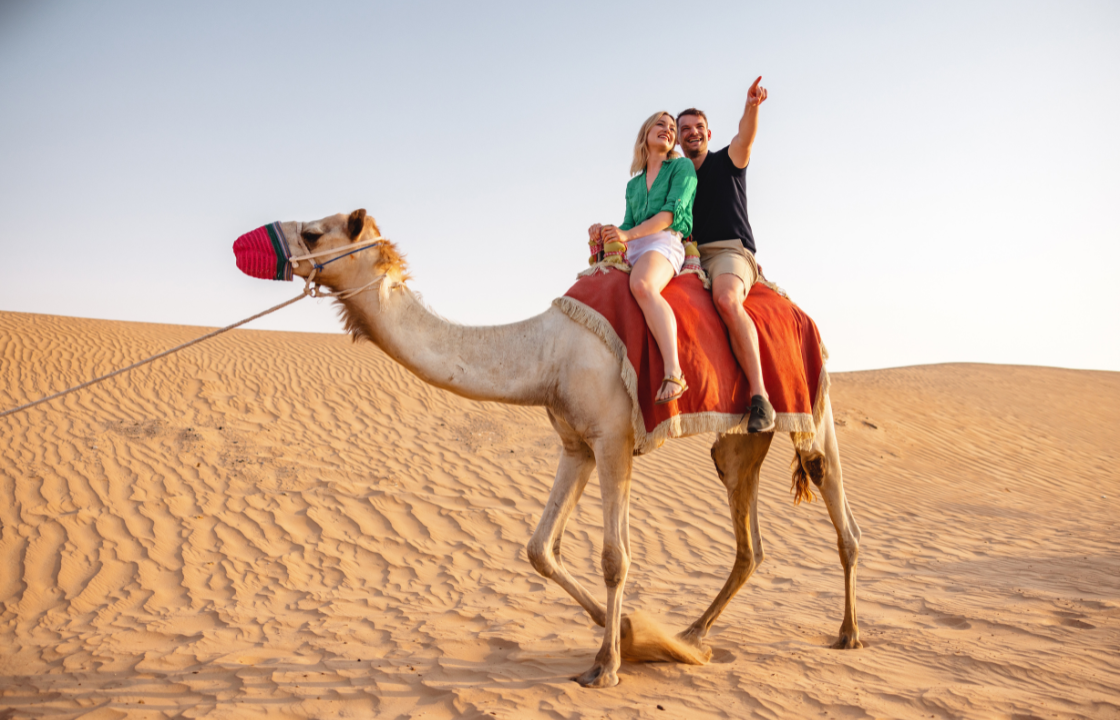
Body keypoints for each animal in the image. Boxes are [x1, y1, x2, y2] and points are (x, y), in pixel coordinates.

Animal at [268, 209, 862, 688]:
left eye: (315, 232)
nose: (276, 247)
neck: (545, 353)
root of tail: (799, 311)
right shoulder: (576, 445)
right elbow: (539, 548)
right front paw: (630, 633)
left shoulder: (613, 439)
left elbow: (615, 557)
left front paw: (608, 664)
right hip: (740, 443)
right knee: (749, 543)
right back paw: (692, 635)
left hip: (815, 403)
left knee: (838, 509)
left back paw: (848, 633)